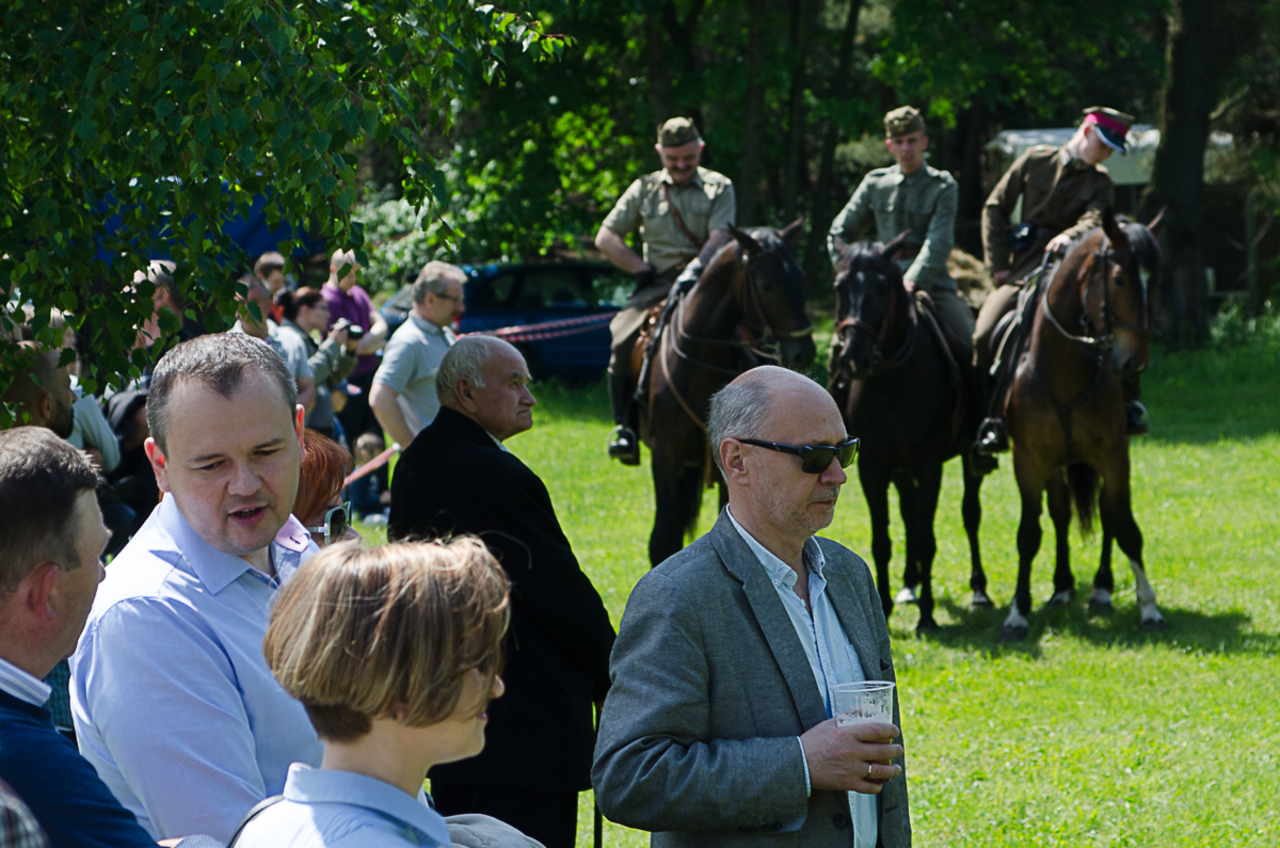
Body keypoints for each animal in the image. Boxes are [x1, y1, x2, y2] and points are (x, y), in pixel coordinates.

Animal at [640, 224, 819, 571]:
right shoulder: (665, 452)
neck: (698, 360)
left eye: (802, 278)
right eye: (766, 285)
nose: (803, 351)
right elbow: (664, 539)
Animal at [824, 235, 983, 635]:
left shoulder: (929, 466)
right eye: (839, 286)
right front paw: (884, 604)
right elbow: (882, 539)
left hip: (969, 459)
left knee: (970, 514)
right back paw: (909, 584)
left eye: (882, 287)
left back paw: (978, 590)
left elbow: (926, 538)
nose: (855, 358)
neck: (891, 383)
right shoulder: (874, 469)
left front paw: (927, 615)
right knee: (909, 513)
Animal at [988, 208, 1172, 640]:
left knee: (1106, 514)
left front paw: (1149, 607)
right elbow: (1029, 534)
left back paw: (1101, 589)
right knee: (1060, 514)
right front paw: (1017, 613)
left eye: (1154, 281)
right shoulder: (1028, 463)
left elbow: (1126, 527)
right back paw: (1062, 588)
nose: (1134, 362)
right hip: (1055, 465)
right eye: (1119, 279)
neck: (1063, 371)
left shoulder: (1115, 456)